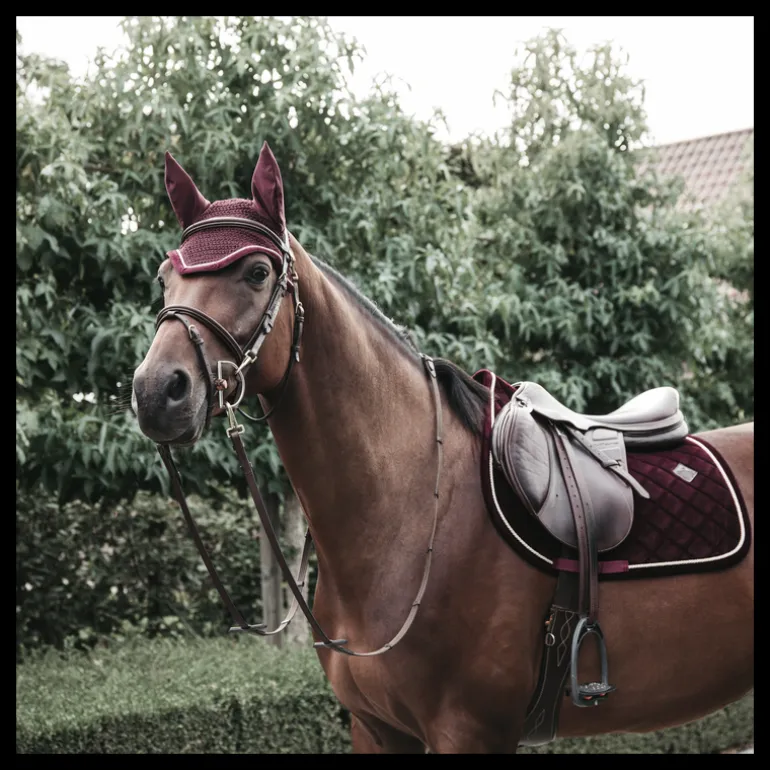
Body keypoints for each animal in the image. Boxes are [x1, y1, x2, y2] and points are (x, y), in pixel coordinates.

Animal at [131, 142, 754, 753]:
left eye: (257, 272)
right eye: (164, 277)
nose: (157, 391)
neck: (408, 512)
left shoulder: (469, 731)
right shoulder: (375, 728)